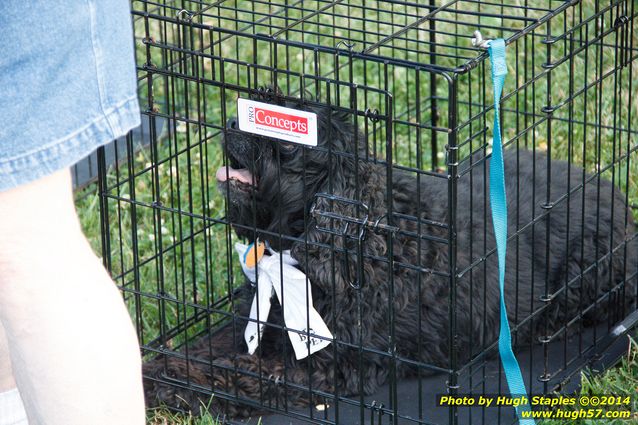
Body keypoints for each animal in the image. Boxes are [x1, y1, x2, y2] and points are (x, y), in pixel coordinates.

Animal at [142, 98, 636, 414]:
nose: (228, 120)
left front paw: (160, 380)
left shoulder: (328, 370)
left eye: (284, 139)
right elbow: (212, 347)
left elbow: (231, 372)